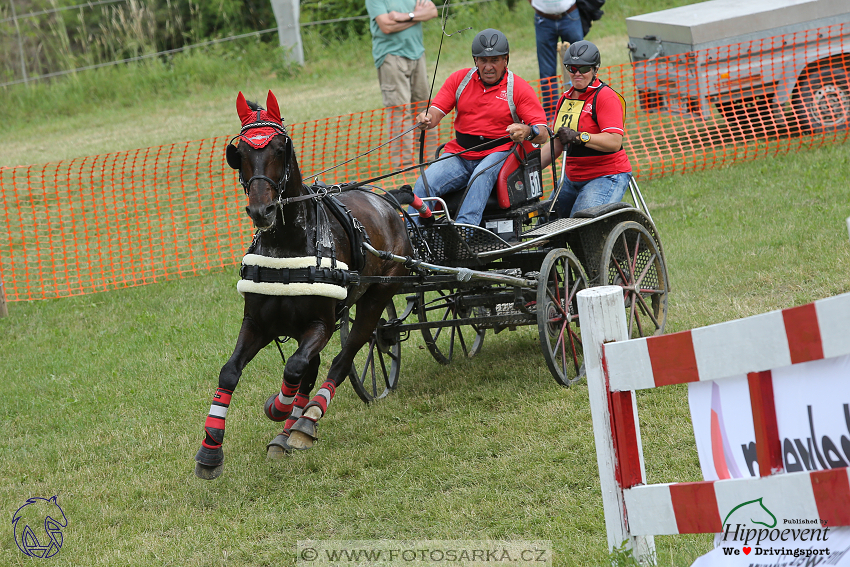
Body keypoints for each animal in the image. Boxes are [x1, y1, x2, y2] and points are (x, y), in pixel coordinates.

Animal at [196, 92, 414, 480]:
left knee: (344, 357)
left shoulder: (321, 325)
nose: (262, 210)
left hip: (376, 298)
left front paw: (279, 408)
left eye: (280, 147)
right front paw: (210, 450)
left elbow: (295, 368)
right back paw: (288, 431)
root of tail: (387, 200)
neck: (289, 243)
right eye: (241, 152)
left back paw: (305, 422)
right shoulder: (257, 323)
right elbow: (230, 372)